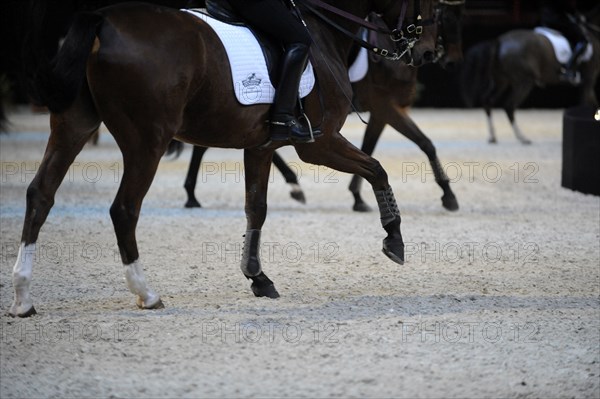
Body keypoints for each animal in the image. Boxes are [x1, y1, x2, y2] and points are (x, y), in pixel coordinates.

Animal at [173, 0, 464, 212]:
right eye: (441, 13)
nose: (429, 54)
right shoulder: (384, 107)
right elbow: (424, 143)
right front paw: (449, 196)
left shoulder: (381, 113)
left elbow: (373, 146)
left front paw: (358, 197)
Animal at [460, 5, 600, 145]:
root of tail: (499, 41)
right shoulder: (589, 80)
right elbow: (590, 104)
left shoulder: (586, 83)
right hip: (524, 82)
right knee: (509, 106)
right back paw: (522, 137)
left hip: (501, 81)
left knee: (488, 101)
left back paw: (493, 136)